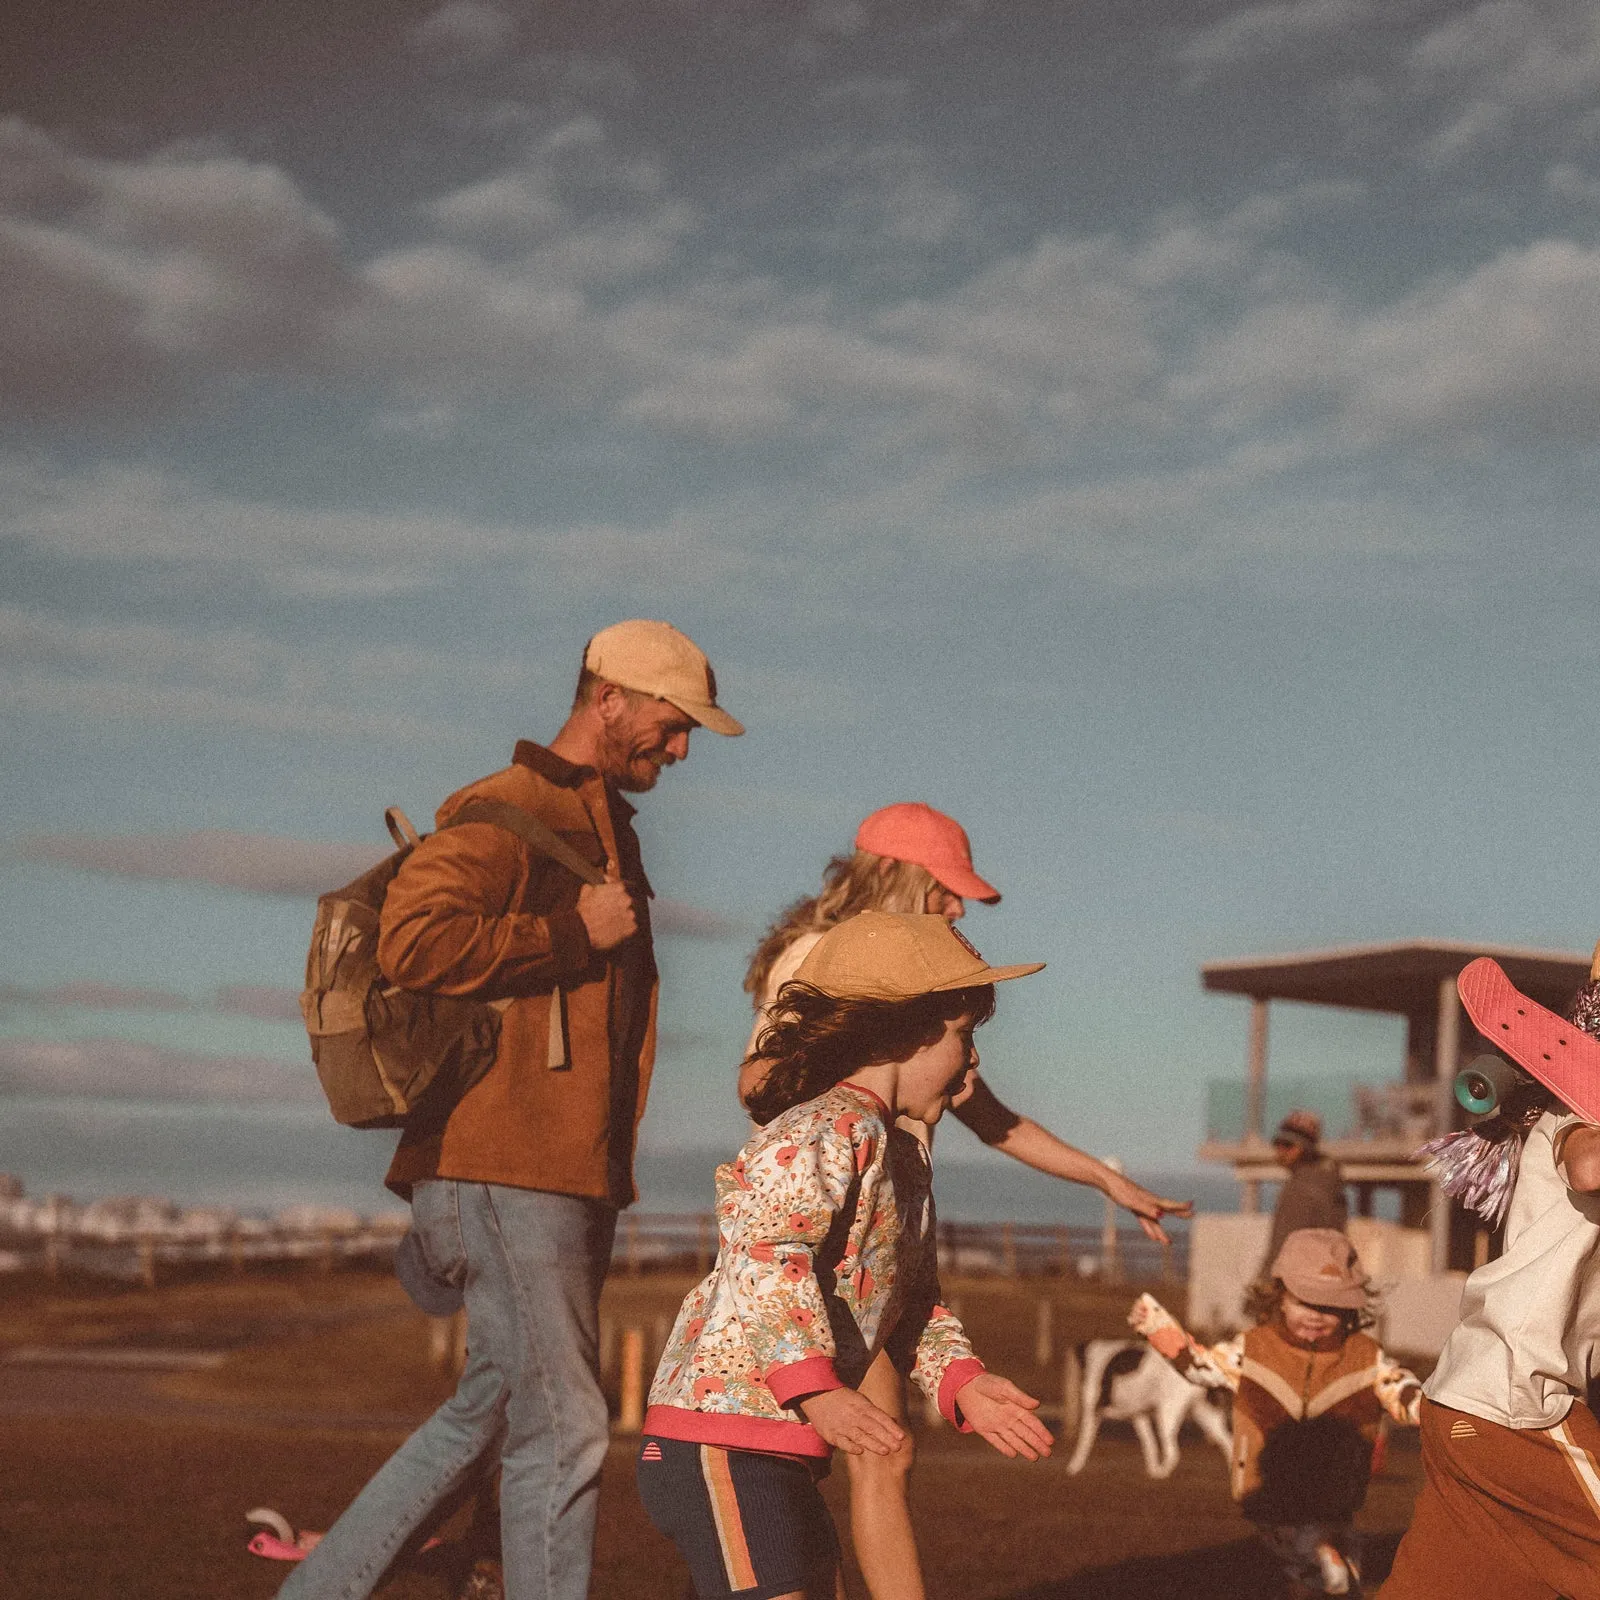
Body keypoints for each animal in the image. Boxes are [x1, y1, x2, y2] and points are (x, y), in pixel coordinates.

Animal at [1068, 1331, 1228, 1478]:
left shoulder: (1092, 1412)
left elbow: (1083, 1443)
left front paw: (1073, 1467)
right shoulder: (1139, 1415)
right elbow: (1149, 1445)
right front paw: (1152, 1468)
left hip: (1166, 1416)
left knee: (1173, 1453)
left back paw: (1161, 1474)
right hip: (1206, 1416)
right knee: (1228, 1444)